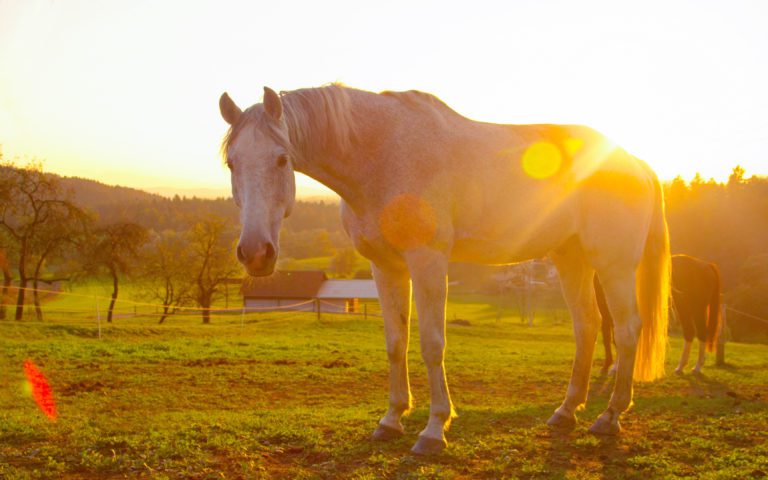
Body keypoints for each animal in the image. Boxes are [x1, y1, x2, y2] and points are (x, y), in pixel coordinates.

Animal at [218, 84, 671, 455]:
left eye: (281, 159)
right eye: (231, 164)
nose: (256, 253)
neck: (381, 155)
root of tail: (634, 161)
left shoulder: (428, 261)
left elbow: (432, 344)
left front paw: (434, 431)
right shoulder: (385, 267)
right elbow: (395, 343)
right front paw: (391, 420)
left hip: (613, 264)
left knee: (627, 329)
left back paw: (609, 418)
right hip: (571, 258)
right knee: (587, 326)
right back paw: (566, 412)